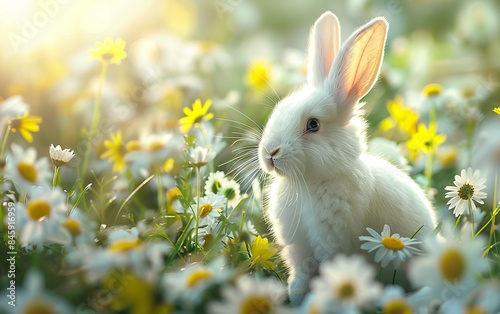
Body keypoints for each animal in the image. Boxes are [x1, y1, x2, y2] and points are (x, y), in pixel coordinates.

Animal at [258, 11, 438, 304]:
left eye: (313, 125)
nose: (270, 153)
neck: (308, 183)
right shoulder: (298, 247)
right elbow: (300, 277)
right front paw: (296, 298)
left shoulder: (332, 241)